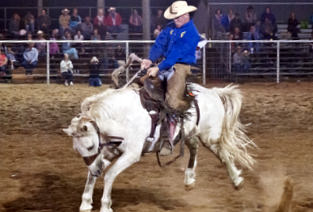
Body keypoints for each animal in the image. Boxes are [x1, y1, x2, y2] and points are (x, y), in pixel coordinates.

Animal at [63, 83, 256, 212]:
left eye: (89, 146)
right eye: (77, 150)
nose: (95, 169)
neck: (121, 117)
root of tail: (212, 93)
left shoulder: (131, 154)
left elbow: (109, 174)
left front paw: (105, 206)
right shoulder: (110, 151)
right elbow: (92, 175)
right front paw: (86, 203)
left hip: (210, 136)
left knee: (223, 154)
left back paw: (236, 180)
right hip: (189, 133)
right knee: (195, 147)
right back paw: (189, 179)